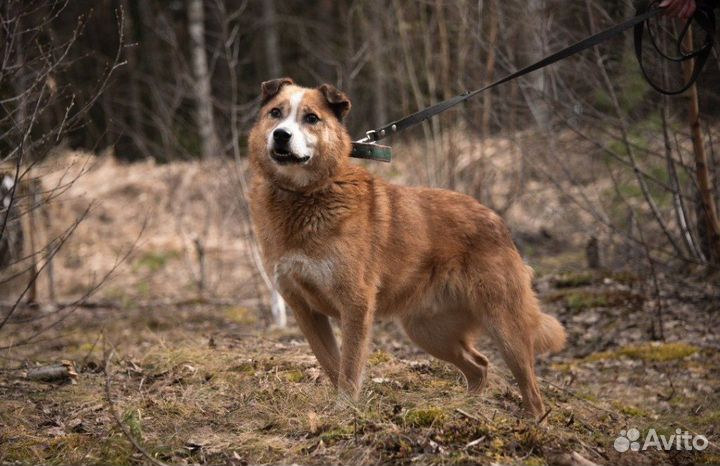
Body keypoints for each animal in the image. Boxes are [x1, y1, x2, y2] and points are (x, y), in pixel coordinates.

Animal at [250, 77, 564, 416]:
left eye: (311, 118)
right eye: (276, 113)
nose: (281, 135)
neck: (306, 196)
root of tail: (497, 221)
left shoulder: (355, 304)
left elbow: (349, 365)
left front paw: (346, 409)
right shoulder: (304, 309)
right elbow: (331, 363)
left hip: (505, 326)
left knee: (531, 390)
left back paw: (531, 420)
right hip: (428, 331)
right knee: (479, 365)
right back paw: (463, 406)